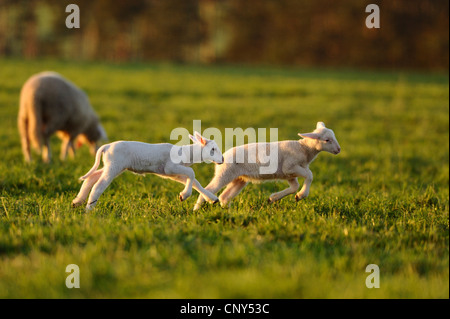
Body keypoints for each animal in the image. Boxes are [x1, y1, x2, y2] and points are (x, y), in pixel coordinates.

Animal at [72, 132, 225, 212]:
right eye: (213, 149)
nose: (222, 159)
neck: (186, 154)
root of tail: (106, 146)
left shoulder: (171, 173)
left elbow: (195, 182)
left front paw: (213, 199)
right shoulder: (171, 167)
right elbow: (192, 173)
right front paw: (184, 195)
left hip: (111, 165)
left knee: (91, 178)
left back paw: (77, 202)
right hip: (114, 166)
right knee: (98, 186)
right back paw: (89, 210)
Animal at [193, 121, 342, 211]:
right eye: (327, 140)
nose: (339, 149)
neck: (303, 149)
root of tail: (222, 157)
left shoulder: (289, 173)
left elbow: (295, 186)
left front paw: (273, 198)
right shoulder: (290, 167)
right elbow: (309, 175)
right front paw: (301, 195)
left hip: (239, 179)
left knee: (224, 196)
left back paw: (228, 211)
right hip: (225, 173)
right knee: (209, 189)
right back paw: (197, 209)